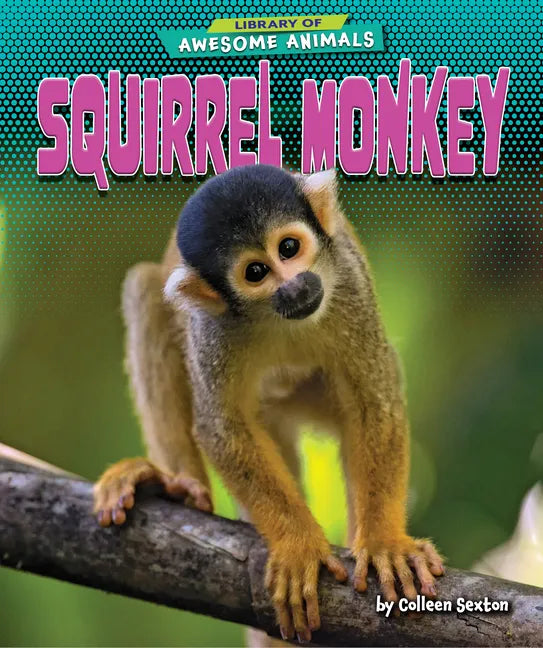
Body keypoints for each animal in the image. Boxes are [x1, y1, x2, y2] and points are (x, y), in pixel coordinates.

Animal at [94, 164, 444, 643]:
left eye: (289, 248)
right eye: (256, 272)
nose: (294, 287)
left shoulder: (348, 283)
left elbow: (374, 400)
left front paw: (384, 542)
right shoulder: (212, 328)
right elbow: (221, 427)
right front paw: (297, 545)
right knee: (144, 291)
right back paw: (177, 483)